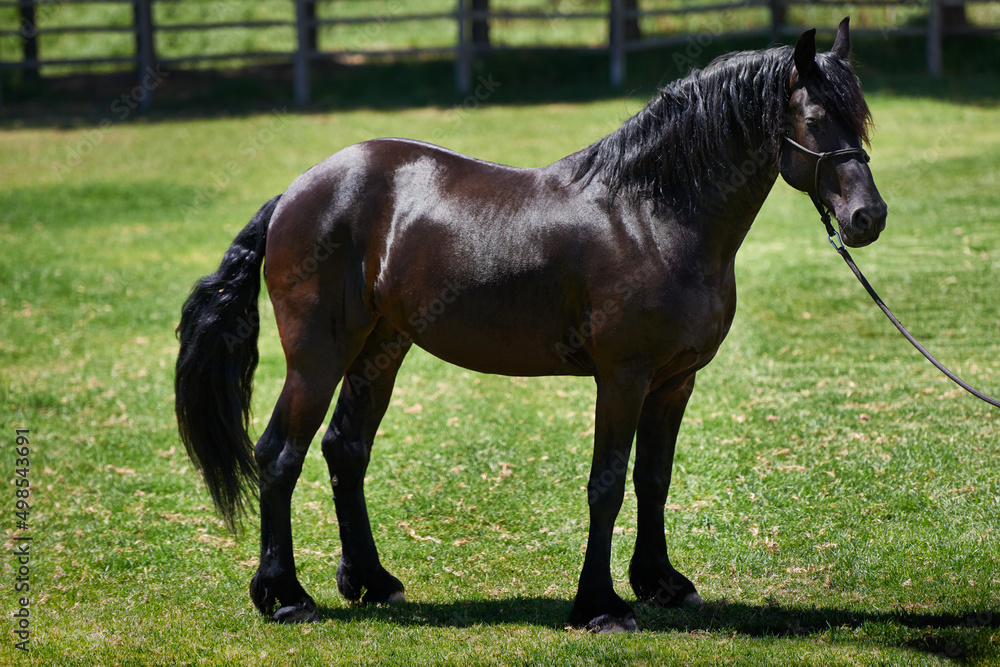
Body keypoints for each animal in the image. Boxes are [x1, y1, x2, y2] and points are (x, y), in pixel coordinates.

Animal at [178, 18, 884, 636]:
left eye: (862, 117)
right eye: (815, 120)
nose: (867, 218)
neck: (650, 215)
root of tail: (296, 193)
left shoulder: (674, 381)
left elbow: (653, 479)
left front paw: (660, 583)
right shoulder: (622, 378)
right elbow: (607, 485)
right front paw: (600, 607)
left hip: (381, 347)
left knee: (345, 448)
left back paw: (372, 582)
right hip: (318, 355)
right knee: (279, 455)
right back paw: (285, 597)